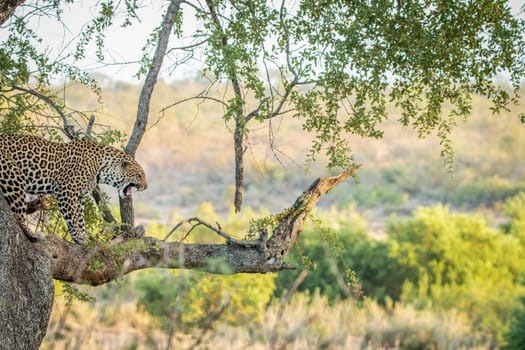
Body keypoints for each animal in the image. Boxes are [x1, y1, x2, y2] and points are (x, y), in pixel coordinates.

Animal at [0, 134, 147, 243]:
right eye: (139, 175)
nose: (146, 187)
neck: (101, 167)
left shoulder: (80, 195)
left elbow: (80, 217)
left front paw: (82, 235)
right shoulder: (65, 190)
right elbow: (73, 215)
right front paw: (77, 235)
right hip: (13, 177)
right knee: (18, 213)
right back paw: (33, 234)